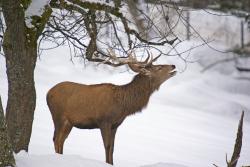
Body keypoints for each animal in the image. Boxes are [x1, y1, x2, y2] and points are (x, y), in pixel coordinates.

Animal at [46, 49, 176, 164]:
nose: (173, 66)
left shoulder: (115, 125)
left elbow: (113, 148)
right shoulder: (104, 121)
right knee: (56, 138)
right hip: (57, 115)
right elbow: (107, 146)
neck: (123, 106)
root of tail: (48, 93)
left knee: (62, 139)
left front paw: (111, 163)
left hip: (69, 122)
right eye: (159, 67)